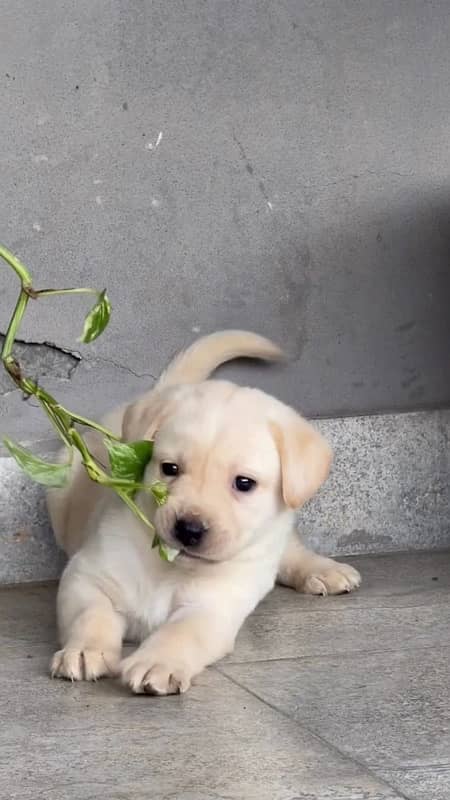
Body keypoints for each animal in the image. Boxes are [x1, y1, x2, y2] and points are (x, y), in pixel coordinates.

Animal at [47, 332, 360, 692]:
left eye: (244, 483)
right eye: (170, 468)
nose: (189, 529)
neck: (172, 568)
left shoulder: (214, 606)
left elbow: (182, 632)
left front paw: (156, 662)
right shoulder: (87, 575)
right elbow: (90, 614)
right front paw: (85, 651)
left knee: (289, 550)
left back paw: (324, 570)